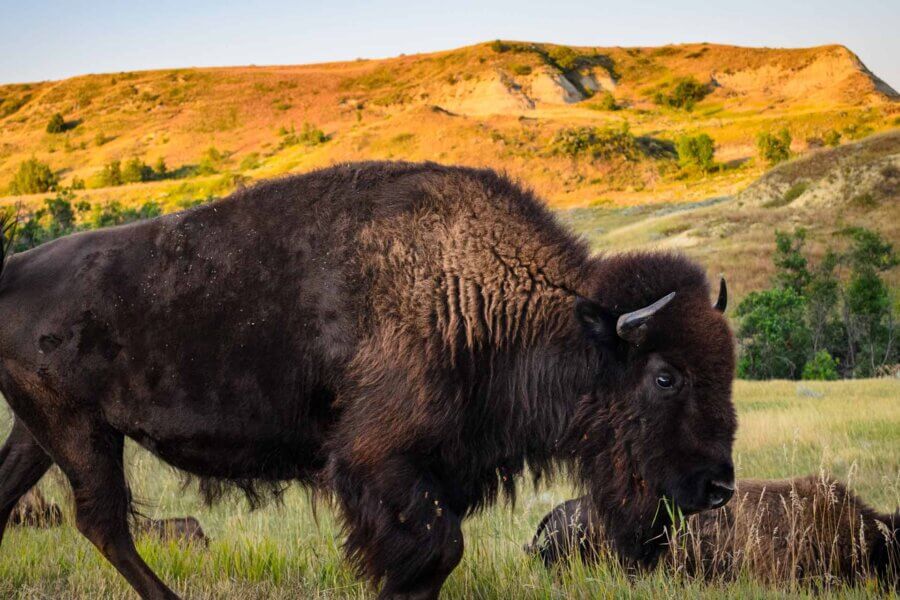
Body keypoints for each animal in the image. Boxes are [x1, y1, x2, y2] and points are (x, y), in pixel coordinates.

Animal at [0, 162, 736, 599]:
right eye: (665, 377)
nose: (719, 487)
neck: (475, 295)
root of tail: (12, 269)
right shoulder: (376, 460)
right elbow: (432, 551)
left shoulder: (442, 470)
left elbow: (434, 559)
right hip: (76, 429)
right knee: (103, 521)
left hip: (44, 432)